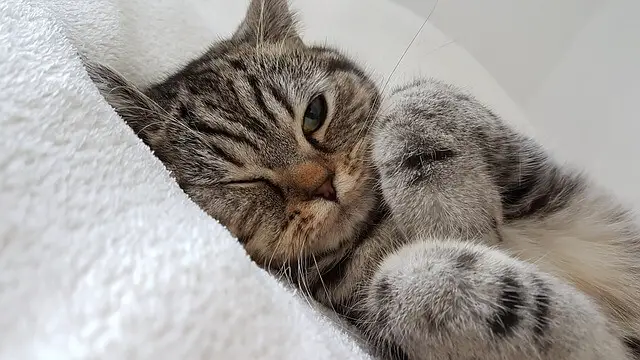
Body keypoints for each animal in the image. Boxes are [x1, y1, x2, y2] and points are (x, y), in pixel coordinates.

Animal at [84, 0, 640, 360]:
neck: (379, 228)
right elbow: (402, 282)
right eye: (243, 184)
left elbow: (416, 97)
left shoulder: (550, 182)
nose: (324, 185)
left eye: (314, 114)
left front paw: (451, 212)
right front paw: (585, 334)